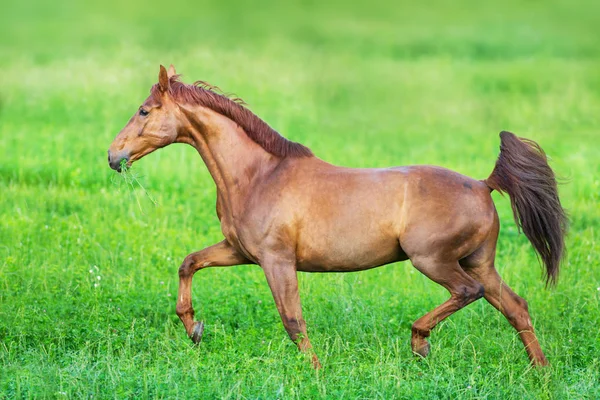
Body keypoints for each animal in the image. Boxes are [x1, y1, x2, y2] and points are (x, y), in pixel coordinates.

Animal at [106, 65, 568, 368]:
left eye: (144, 110)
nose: (113, 156)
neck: (258, 175)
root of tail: (483, 184)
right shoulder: (239, 251)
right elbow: (188, 263)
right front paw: (194, 329)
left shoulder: (276, 260)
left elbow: (292, 320)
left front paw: (315, 371)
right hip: (478, 261)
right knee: (516, 306)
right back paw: (541, 372)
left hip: (434, 260)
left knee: (469, 292)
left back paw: (420, 343)